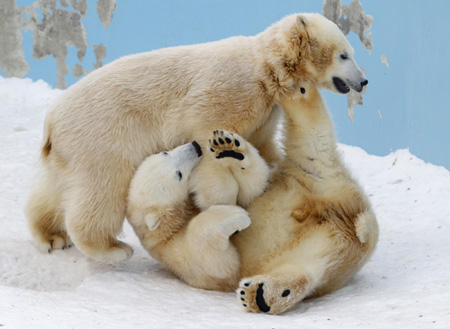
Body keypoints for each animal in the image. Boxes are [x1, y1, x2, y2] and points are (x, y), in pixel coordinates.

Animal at [26, 13, 368, 264]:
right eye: (344, 54)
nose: (364, 80)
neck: (268, 68)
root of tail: (51, 121)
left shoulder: (266, 110)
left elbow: (263, 144)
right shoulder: (232, 91)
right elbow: (207, 132)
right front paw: (219, 196)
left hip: (70, 149)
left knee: (53, 189)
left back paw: (51, 237)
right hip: (103, 135)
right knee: (102, 190)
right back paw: (111, 249)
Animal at [125, 130, 268, 290]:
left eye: (164, 153)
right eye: (179, 175)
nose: (195, 146)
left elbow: (252, 191)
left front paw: (232, 148)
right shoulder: (180, 255)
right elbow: (224, 265)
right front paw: (237, 215)